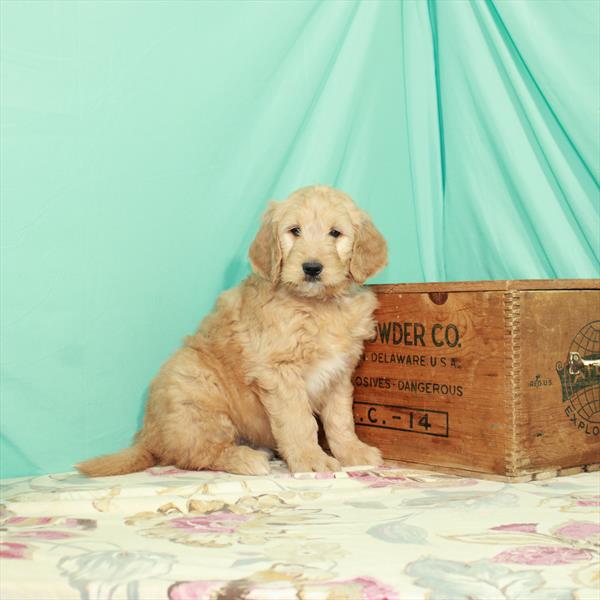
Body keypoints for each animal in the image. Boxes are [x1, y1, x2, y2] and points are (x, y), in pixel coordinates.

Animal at [77, 185, 386, 476]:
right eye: (294, 231)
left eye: (335, 233)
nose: (311, 268)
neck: (318, 306)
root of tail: (149, 436)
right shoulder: (280, 372)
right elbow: (299, 421)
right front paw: (311, 459)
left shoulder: (339, 373)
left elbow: (340, 419)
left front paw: (353, 452)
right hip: (193, 385)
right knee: (199, 452)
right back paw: (247, 459)